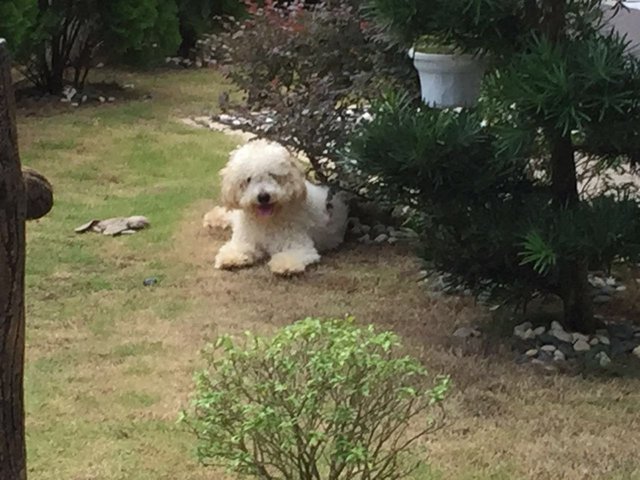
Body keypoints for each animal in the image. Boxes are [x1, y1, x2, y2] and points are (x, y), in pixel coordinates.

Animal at [205, 137, 348, 276]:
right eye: (248, 179)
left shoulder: (298, 245)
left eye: (272, 175)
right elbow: (237, 248)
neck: (267, 220)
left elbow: (292, 255)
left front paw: (285, 266)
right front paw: (230, 258)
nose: (263, 197)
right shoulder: (245, 240)